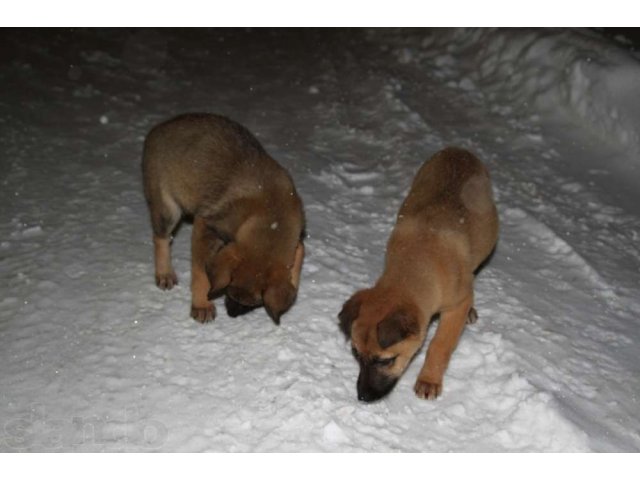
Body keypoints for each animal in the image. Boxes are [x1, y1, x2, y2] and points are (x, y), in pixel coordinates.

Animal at [142, 111, 304, 326]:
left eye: (255, 302)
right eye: (228, 289)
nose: (231, 314)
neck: (271, 217)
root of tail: (157, 129)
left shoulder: (297, 238)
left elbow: (298, 258)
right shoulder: (206, 226)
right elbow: (201, 272)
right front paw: (202, 305)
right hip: (168, 208)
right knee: (161, 238)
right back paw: (164, 273)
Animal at [338, 147, 498, 402]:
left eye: (386, 360)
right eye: (356, 353)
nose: (363, 396)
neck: (415, 262)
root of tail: (459, 150)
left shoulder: (456, 306)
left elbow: (440, 345)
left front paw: (429, 379)